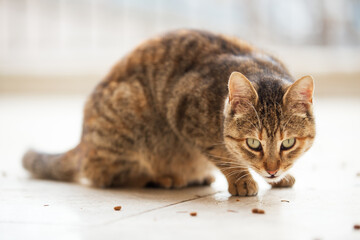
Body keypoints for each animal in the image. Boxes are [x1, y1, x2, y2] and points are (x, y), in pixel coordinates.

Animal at [22, 29, 316, 196]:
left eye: (288, 143)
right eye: (253, 143)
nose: (272, 171)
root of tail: (82, 142)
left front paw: (279, 178)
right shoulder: (187, 117)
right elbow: (224, 155)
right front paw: (242, 179)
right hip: (131, 117)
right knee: (106, 175)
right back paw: (166, 177)